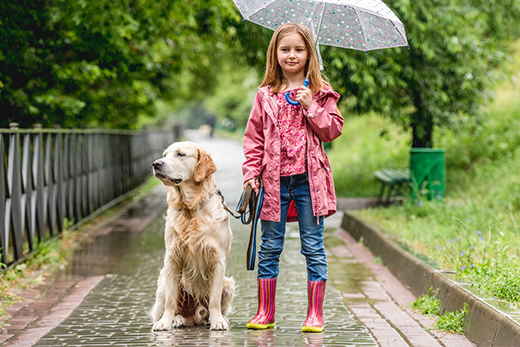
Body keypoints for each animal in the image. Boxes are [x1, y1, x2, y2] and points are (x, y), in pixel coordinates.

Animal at [150, 141, 236, 332]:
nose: (156, 164)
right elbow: (171, 300)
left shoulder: (217, 259)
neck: (191, 207)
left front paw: (218, 321)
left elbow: (214, 300)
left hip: (228, 283)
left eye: (180, 154)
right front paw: (165, 322)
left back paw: (218, 319)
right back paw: (177, 319)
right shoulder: (172, 257)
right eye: (165, 155)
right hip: (163, 282)